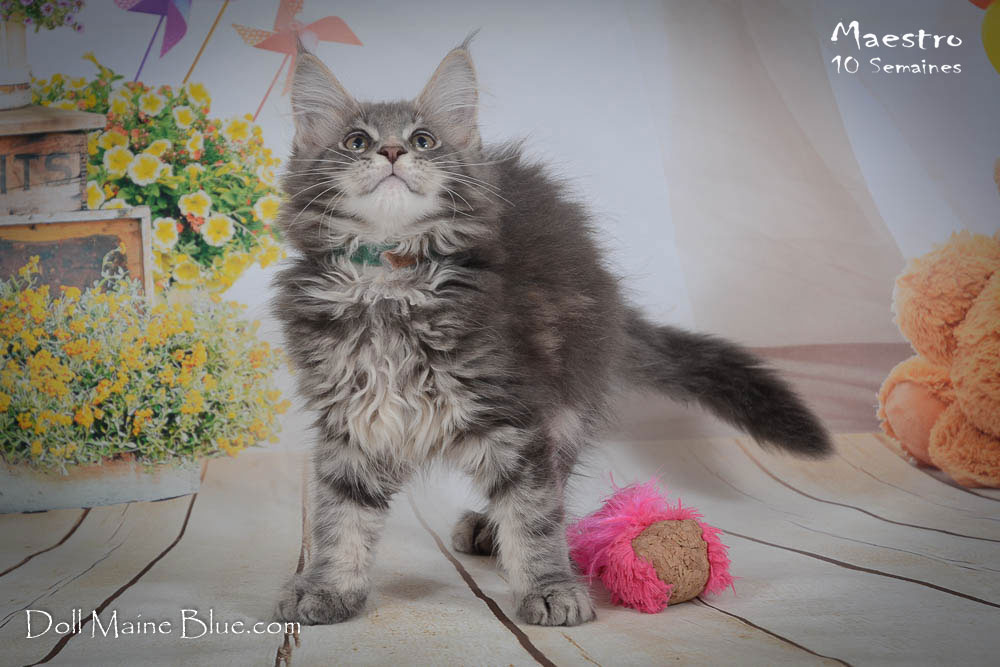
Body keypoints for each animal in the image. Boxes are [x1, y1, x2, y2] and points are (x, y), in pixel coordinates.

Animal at [271, 36, 831, 627]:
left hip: (565, 407)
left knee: (554, 482)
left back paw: (492, 531)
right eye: (356, 141)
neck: (389, 282)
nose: (395, 152)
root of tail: (608, 292)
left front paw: (548, 587)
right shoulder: (351, 419)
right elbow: (340, 515)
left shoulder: (513, 413)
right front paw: (327, 587)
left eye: (424, 140)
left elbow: (532, 512)